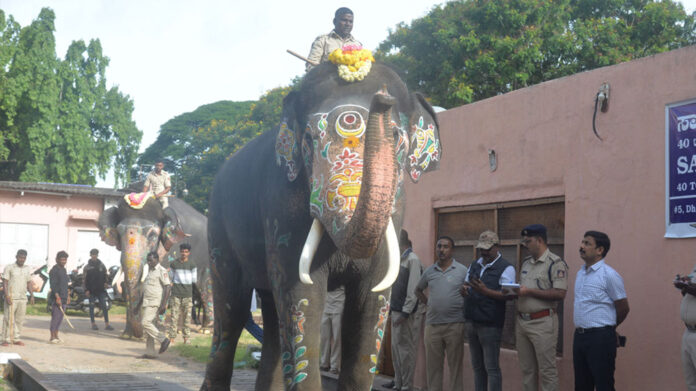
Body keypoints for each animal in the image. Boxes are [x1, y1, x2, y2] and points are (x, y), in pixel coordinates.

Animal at [98, 194, 212, 338]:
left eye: (152, 235)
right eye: (118, 233)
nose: (138, 334)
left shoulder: (169, 249)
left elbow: (165, 285)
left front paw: (149, 335)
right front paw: (126, 336)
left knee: (206, 287)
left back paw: (205, 330)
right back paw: (181, 330)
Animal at [201, 59, 440, 391]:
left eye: (397, 138)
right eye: (309, 140)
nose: (383, 98)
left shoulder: (397, 210)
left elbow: (373, 300)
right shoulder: (282, 209)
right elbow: (304, 294)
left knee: (273, 315)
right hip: (218, 230)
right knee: (231, 311)